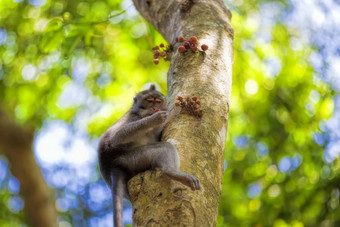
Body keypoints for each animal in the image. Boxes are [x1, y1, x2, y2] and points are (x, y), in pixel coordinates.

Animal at [97, 84, 201, 226]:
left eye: (158, 101)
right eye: (149, 100)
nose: (154, 108)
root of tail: (111, 166)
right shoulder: (133, 119)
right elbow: (116, 139)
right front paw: (156, 118)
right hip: (132, 158)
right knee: (165, 148)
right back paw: (172, 171)